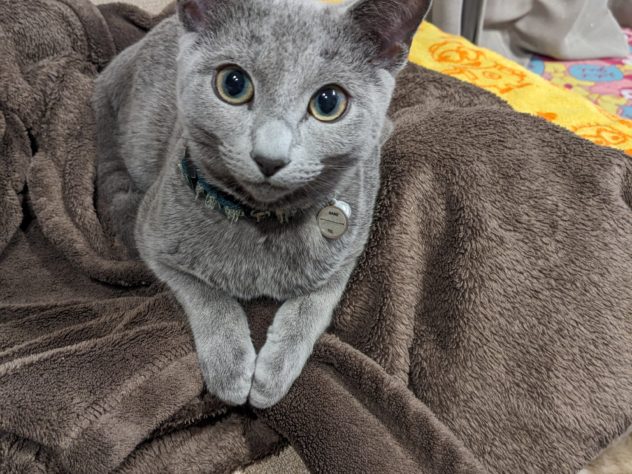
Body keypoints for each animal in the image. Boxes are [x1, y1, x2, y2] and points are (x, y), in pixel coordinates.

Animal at [93, 0, 431, 408]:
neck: (261, 220)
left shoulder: (353, 243)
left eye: (329, 102)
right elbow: (206, 293)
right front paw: (231, 368)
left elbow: (315, 303)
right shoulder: (152, 237)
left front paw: (272, 375)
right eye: (233, 84)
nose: (270, 158)